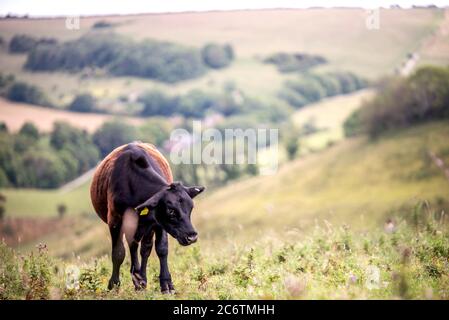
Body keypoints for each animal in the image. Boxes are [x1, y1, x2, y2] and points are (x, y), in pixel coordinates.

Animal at [89, 142, 205, 292]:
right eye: (171, 211)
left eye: (191, 208)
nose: (192, 236)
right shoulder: (114, 221)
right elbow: (118, 253)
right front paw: (114, 284)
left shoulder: (158, 222)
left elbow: (161, 249)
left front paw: (166, 284)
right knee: (133, 246)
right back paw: (137, 278)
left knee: (144, 248)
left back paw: (141, 278)